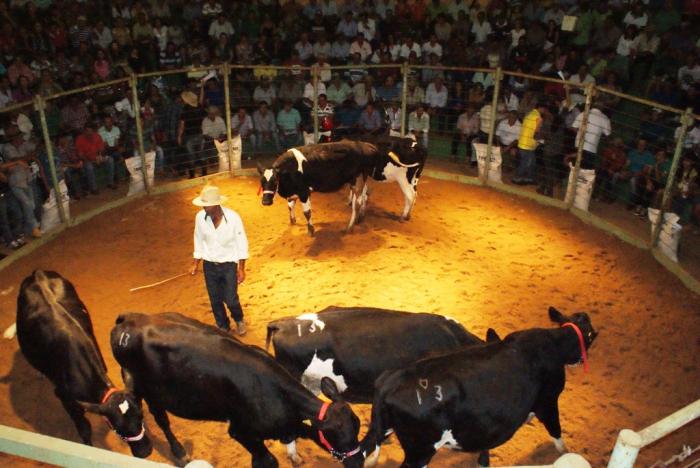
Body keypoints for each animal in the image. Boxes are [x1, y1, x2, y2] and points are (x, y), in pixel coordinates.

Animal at [14, 270, 152, 458]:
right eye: (118, 429)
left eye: (141, 416)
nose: (145, 452)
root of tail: (38, 273)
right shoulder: (64, 397)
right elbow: (83, 428)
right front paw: (88, 447)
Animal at [112, 312, 364, 466]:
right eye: (337, 438)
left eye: (357, 427)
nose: (358, 461)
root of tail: (130, 319)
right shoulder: (241, 432)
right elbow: (267, 462)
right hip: (146, 388)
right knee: (159, 419)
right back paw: (176, 451)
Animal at [358, 308, 600, 468]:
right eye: (591, 335)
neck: (553, 344)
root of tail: (390, 381)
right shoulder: (548, 400)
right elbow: (556, 432)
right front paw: (566, 452)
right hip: (420, 450)